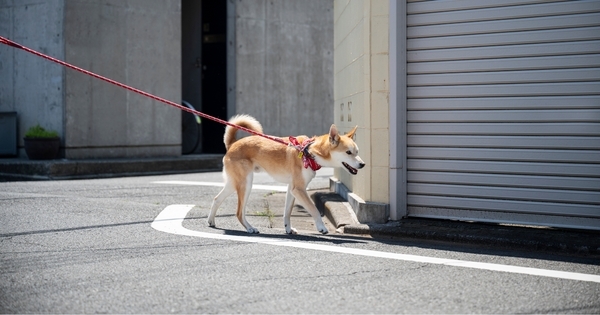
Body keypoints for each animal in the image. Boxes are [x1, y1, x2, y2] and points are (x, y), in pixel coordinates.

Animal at [206, 115, 366, 236]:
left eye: (357, 152)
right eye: (348, 152)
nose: (362, 164)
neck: (310, 152)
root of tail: (232, 144)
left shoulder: (292, 189)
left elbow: (287, 213)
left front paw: (288, 229)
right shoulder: (299, 189)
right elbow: (314, 209)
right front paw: (321, 227)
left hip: (234, 183)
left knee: (216, 199)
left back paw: (211, 221)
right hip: (246, 185)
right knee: (239, 212)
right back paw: (250, 228)